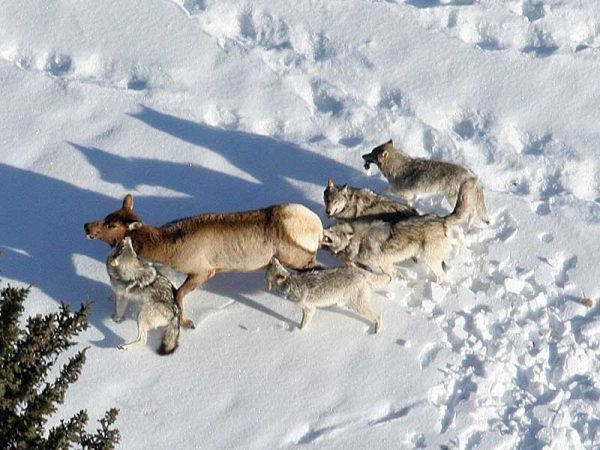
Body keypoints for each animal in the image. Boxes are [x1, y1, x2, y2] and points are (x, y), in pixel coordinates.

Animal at [84, 195, 324, 328]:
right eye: (107, 216)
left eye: (112, 225)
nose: (86, 226)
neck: (168, 248)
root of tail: (318, 228)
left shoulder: (203, 271)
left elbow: (178, 295)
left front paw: (187, 322)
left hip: (299, 258)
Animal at [322, 178, 472, 282]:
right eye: (328, 200)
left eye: (336, 201)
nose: (327, 212)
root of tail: (441, 219)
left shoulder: (385, 264)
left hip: (430, 259)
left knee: (441, 276)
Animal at [360, 139, 488, 229]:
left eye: (371, 154)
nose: (362, 155)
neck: (396, 168)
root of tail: (471, 175)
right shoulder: (411, 197)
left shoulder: (405, 193)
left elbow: (386, 189)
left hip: (453, 199)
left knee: (472, 212)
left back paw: (469, 228)